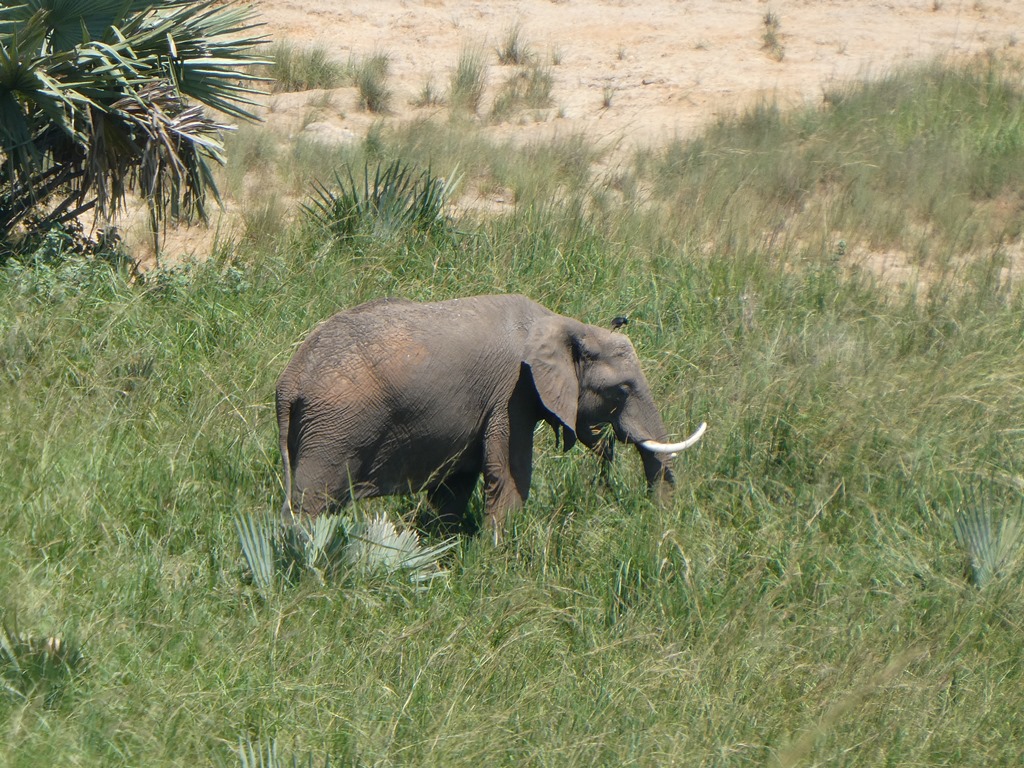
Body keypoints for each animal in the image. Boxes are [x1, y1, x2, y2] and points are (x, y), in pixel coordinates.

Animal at [272, 294, 704, 540]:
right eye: (621, 390)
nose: (657, 523)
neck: (566, 324)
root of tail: (289, 382)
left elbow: (455, 484)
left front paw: (443, 544)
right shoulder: (512, 393)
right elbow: (511, 474)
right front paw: (496, 556)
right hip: (334, 427)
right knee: (311, 502)